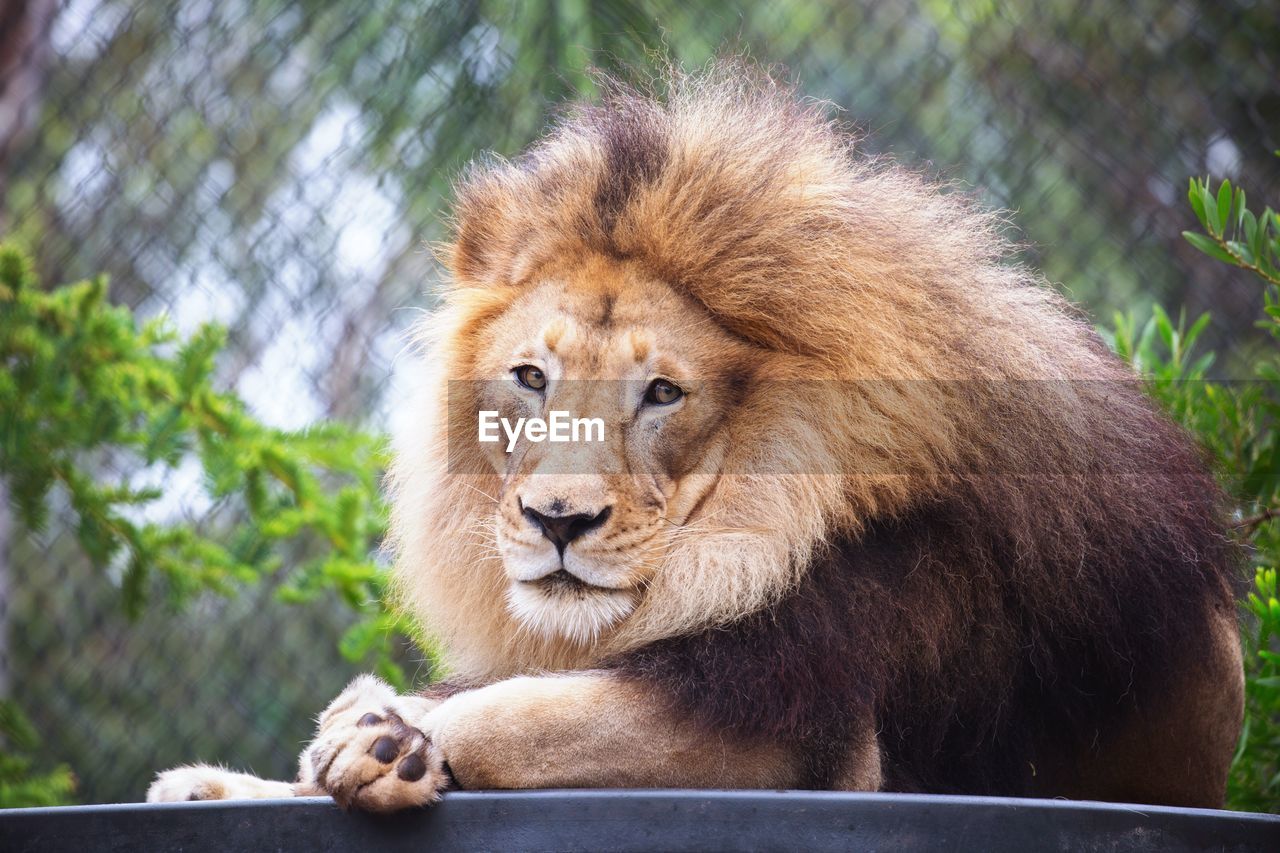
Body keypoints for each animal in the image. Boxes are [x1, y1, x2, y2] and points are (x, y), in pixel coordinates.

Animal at [147, 63, 1239, 809]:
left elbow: (521, 716)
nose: (557, 521)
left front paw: (376, 735)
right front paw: (244, 772)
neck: (744, 529)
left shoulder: (815, 745)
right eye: (530, 377)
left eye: (663, 393)